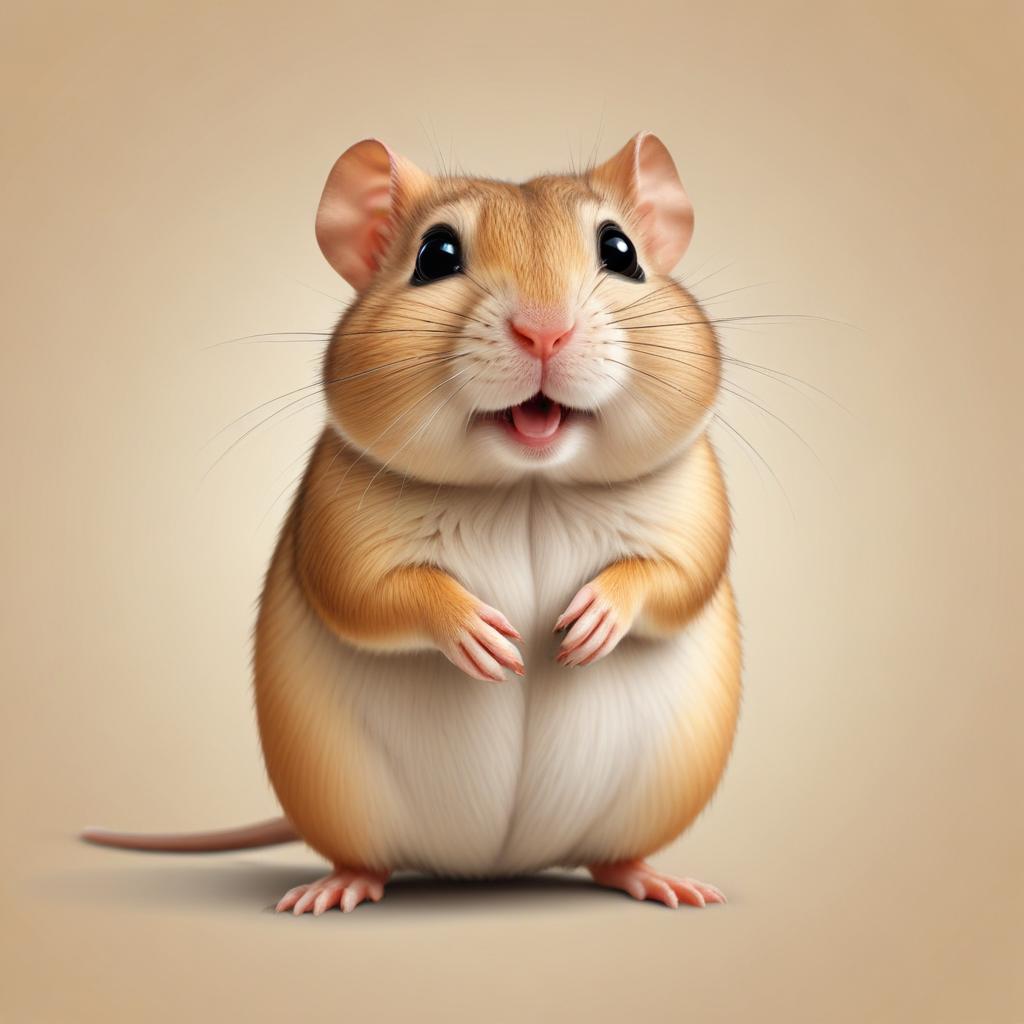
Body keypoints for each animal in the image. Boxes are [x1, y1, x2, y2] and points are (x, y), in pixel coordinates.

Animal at [83, 132, 741, 914]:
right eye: (436, 255)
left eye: (620, 250)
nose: (545, 331)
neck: (528, 488)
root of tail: (492, 870)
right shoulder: (338, 523)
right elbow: (369, 595)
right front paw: (486, 640)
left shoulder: (696, 506)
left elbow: (676, 576)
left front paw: (589, 624)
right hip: (338, 797)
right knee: (363, 859)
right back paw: (333, 889)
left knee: (613, 858)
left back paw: (660, 880)